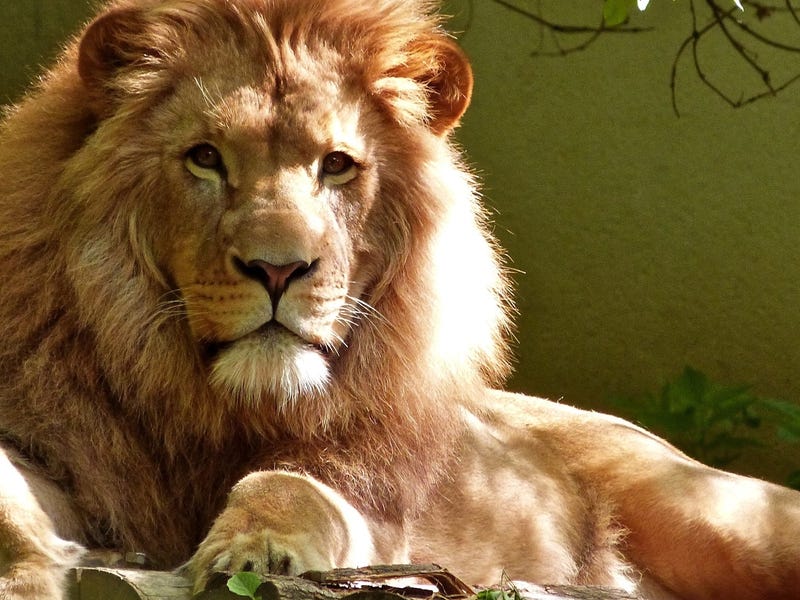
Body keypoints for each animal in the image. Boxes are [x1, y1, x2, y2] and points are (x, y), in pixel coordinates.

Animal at [0, 1, 799, 599]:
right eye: (205, 158)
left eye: (337, 166)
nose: (278, 269)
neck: (213, 404)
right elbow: (14, 491)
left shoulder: (372, 506)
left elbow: (290, 486)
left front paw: (258, 549)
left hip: (722, 513)